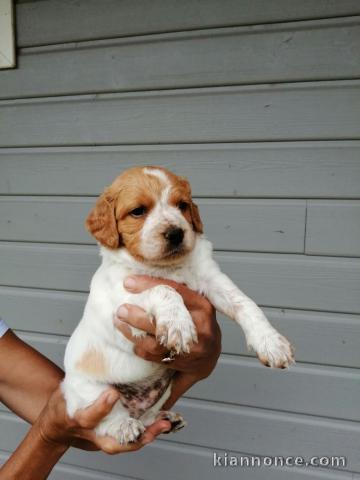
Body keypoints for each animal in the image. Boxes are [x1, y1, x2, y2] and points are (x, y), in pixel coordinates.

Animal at [62, 165, 294, 442]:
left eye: (182, 205)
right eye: (138, 211)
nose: (176, 233)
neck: (166, 268)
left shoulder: (212, 278)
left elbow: (244, 302)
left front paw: (271, 342)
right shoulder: (121, 299)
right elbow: (164, 289)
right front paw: (179, 325)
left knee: (147, 414)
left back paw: (165, 419)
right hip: (93, 392)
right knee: (105, 419)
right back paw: (124, 426)